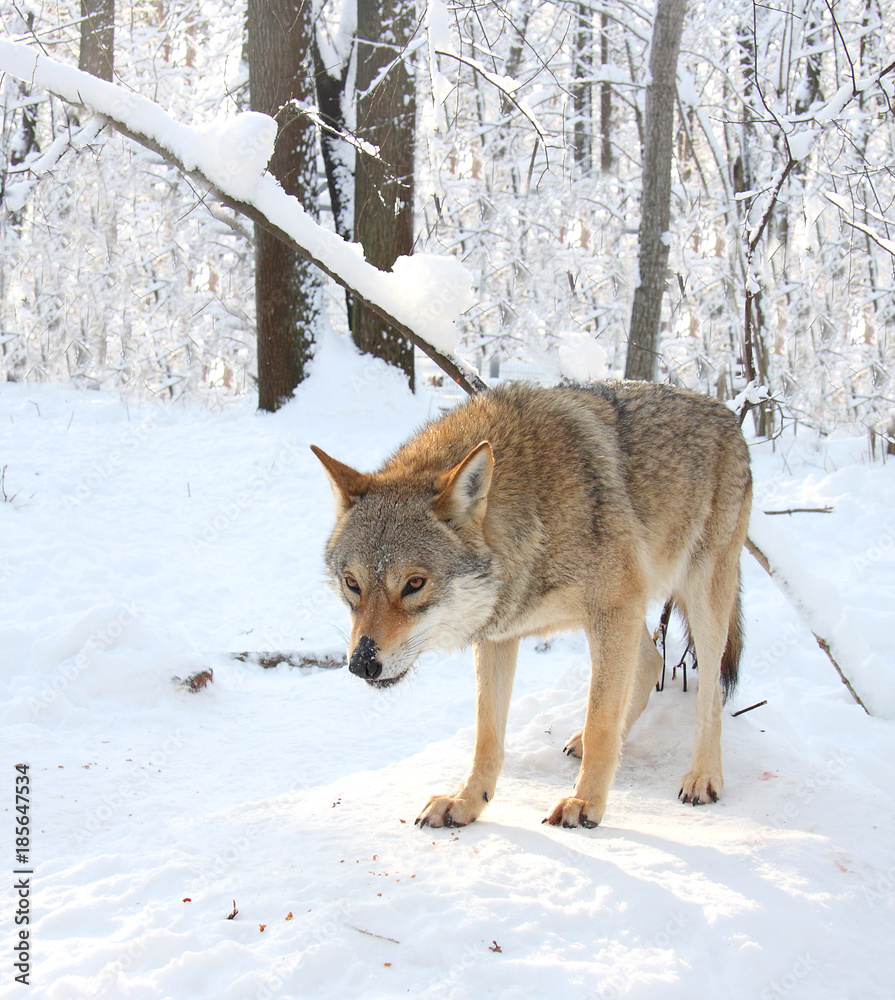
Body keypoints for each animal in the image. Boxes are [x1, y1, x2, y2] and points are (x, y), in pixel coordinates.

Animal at [312, 381, 752, 829]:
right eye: (352, 584)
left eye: (414, 584)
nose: (362, 663)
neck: (533, 513)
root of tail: (723, 411)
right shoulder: (499, 636)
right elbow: (487, 735)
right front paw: (466, 801)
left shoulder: (614, 610)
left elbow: (601, 722)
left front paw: (585, 803)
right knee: (652, 663)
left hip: (699, 601)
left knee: (710, 693)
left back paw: (703, 777)